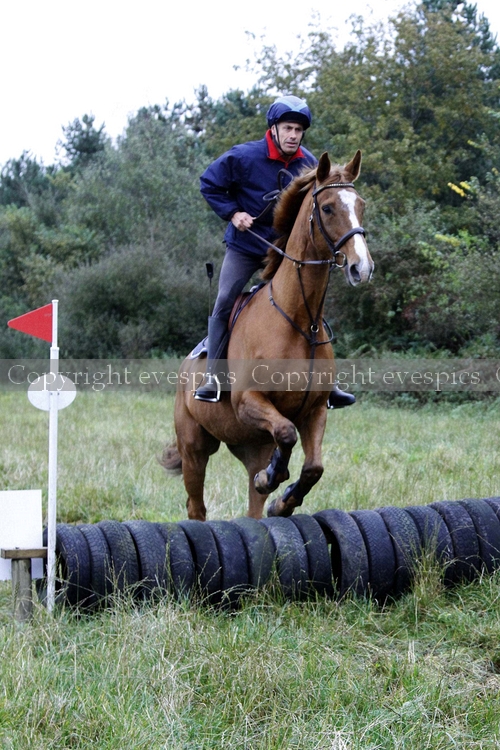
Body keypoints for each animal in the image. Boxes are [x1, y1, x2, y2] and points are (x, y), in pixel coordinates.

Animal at [163, 151, 374, 520]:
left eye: (360, 205)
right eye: (328, 208)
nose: (361, 268)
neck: (300, 321)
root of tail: (186, 367)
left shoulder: (314, 410)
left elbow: (313, 466)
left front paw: (282, 500)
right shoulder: (249, 402)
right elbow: (287, 433)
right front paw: (275, 477)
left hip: (249, 445)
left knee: (253, 505)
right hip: (194, 447)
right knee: (195, 505)